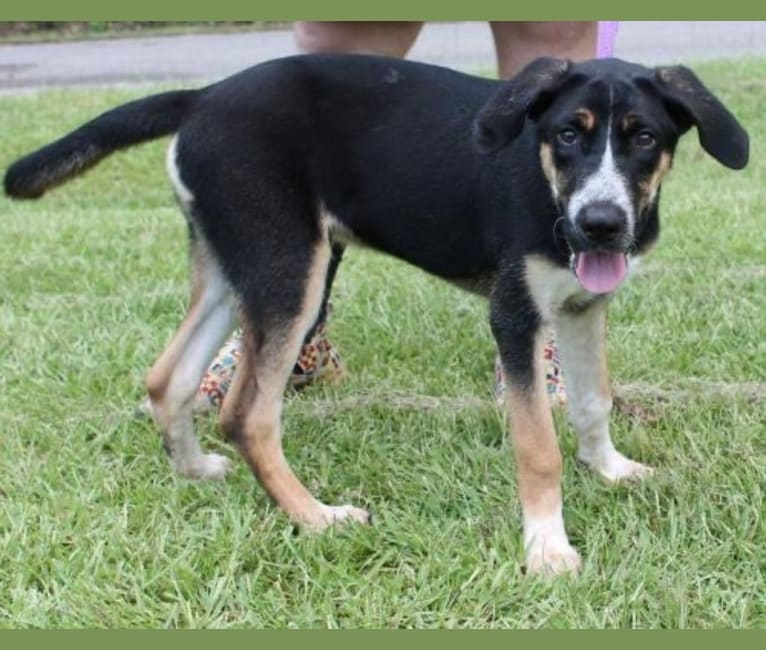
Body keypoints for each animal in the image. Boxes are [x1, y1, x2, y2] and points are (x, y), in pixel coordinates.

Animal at [4, 54, 752, 572]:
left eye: (644, 138)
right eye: (569, 134)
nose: (601, 224)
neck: (547, 187)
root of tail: (204, 94)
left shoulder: (581, 305)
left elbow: (593, 400)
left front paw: (611, 469)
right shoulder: (514, 316)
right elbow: (537, 445)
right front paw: (547, 548)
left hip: (233, 264)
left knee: (167, 377)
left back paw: (194, 471)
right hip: (291, 269)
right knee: (247, 413)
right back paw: (316, 519)